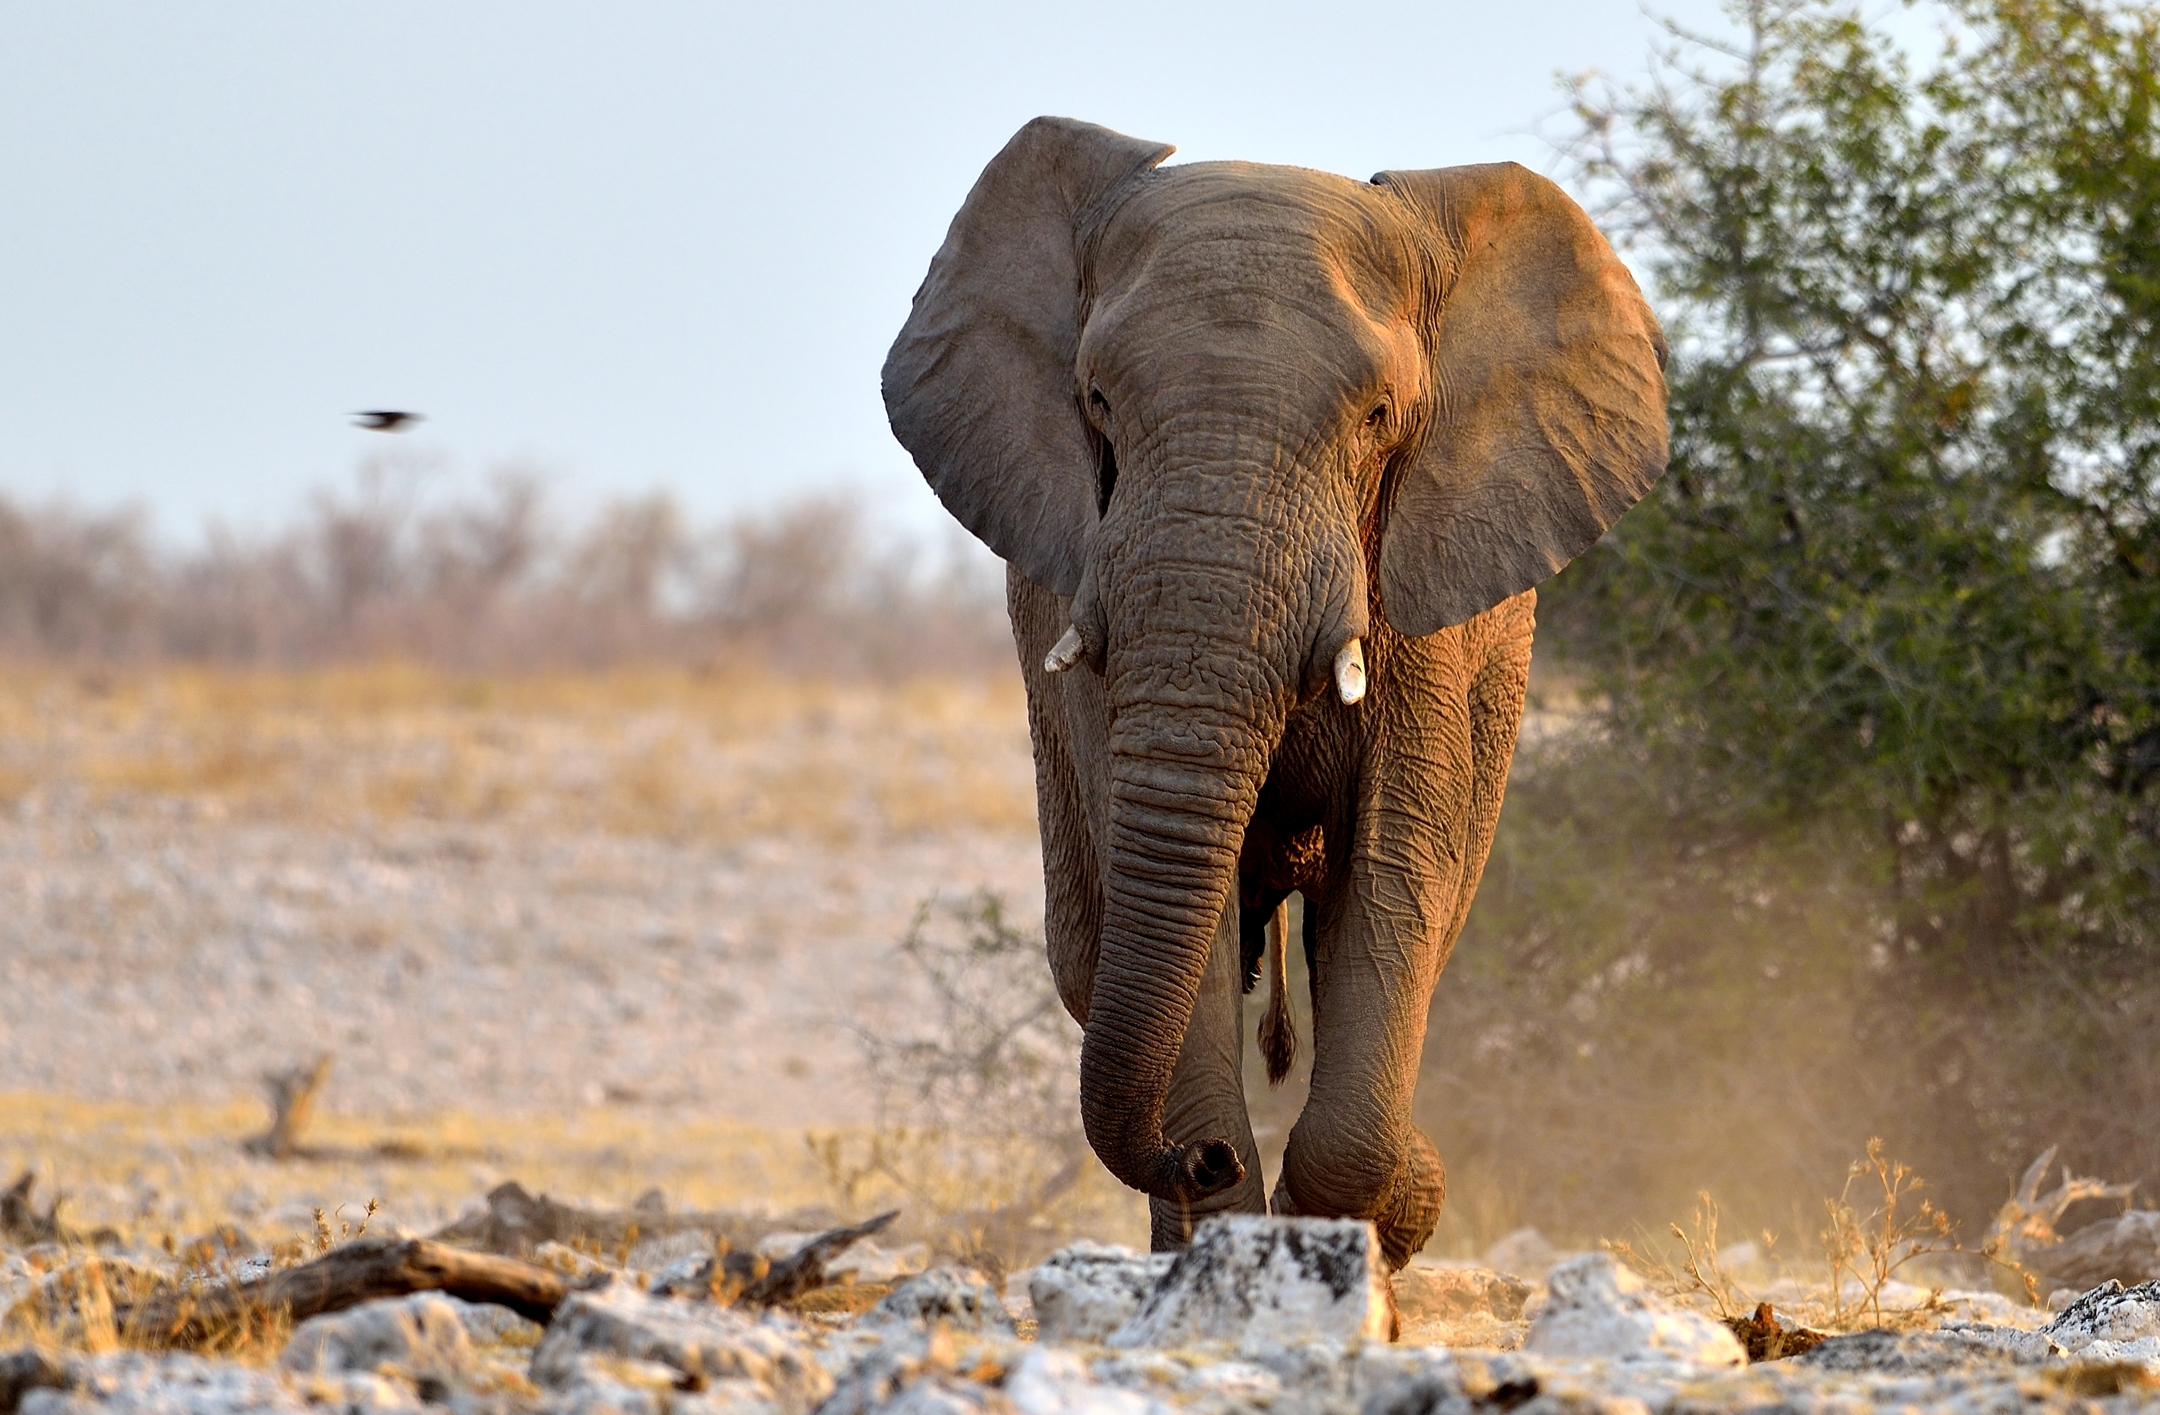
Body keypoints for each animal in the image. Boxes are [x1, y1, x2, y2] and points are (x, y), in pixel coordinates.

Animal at [882, 117, 1667, 1267]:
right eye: (1097, 399)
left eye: (1381, 415)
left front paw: (1341, 1220)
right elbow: (1173, 897)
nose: (1199, 1156)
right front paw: (1233, 1230)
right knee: (1091, 949)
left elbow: (1393, 874)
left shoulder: (1422, 608)